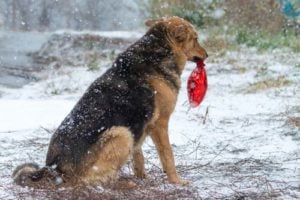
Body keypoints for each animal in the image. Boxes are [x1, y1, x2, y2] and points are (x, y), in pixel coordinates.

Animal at [12, 16, 207, 188]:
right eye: (196, 39)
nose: (206, 55)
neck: (157, 51)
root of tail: (54, 168)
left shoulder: (140, 125)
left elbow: (139, 157)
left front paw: (142, 177)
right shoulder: (159, 124)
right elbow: (168, 156)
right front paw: (176, 181)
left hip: (127, 133)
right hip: (121, 133)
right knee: (89, 180)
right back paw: (123, 183)